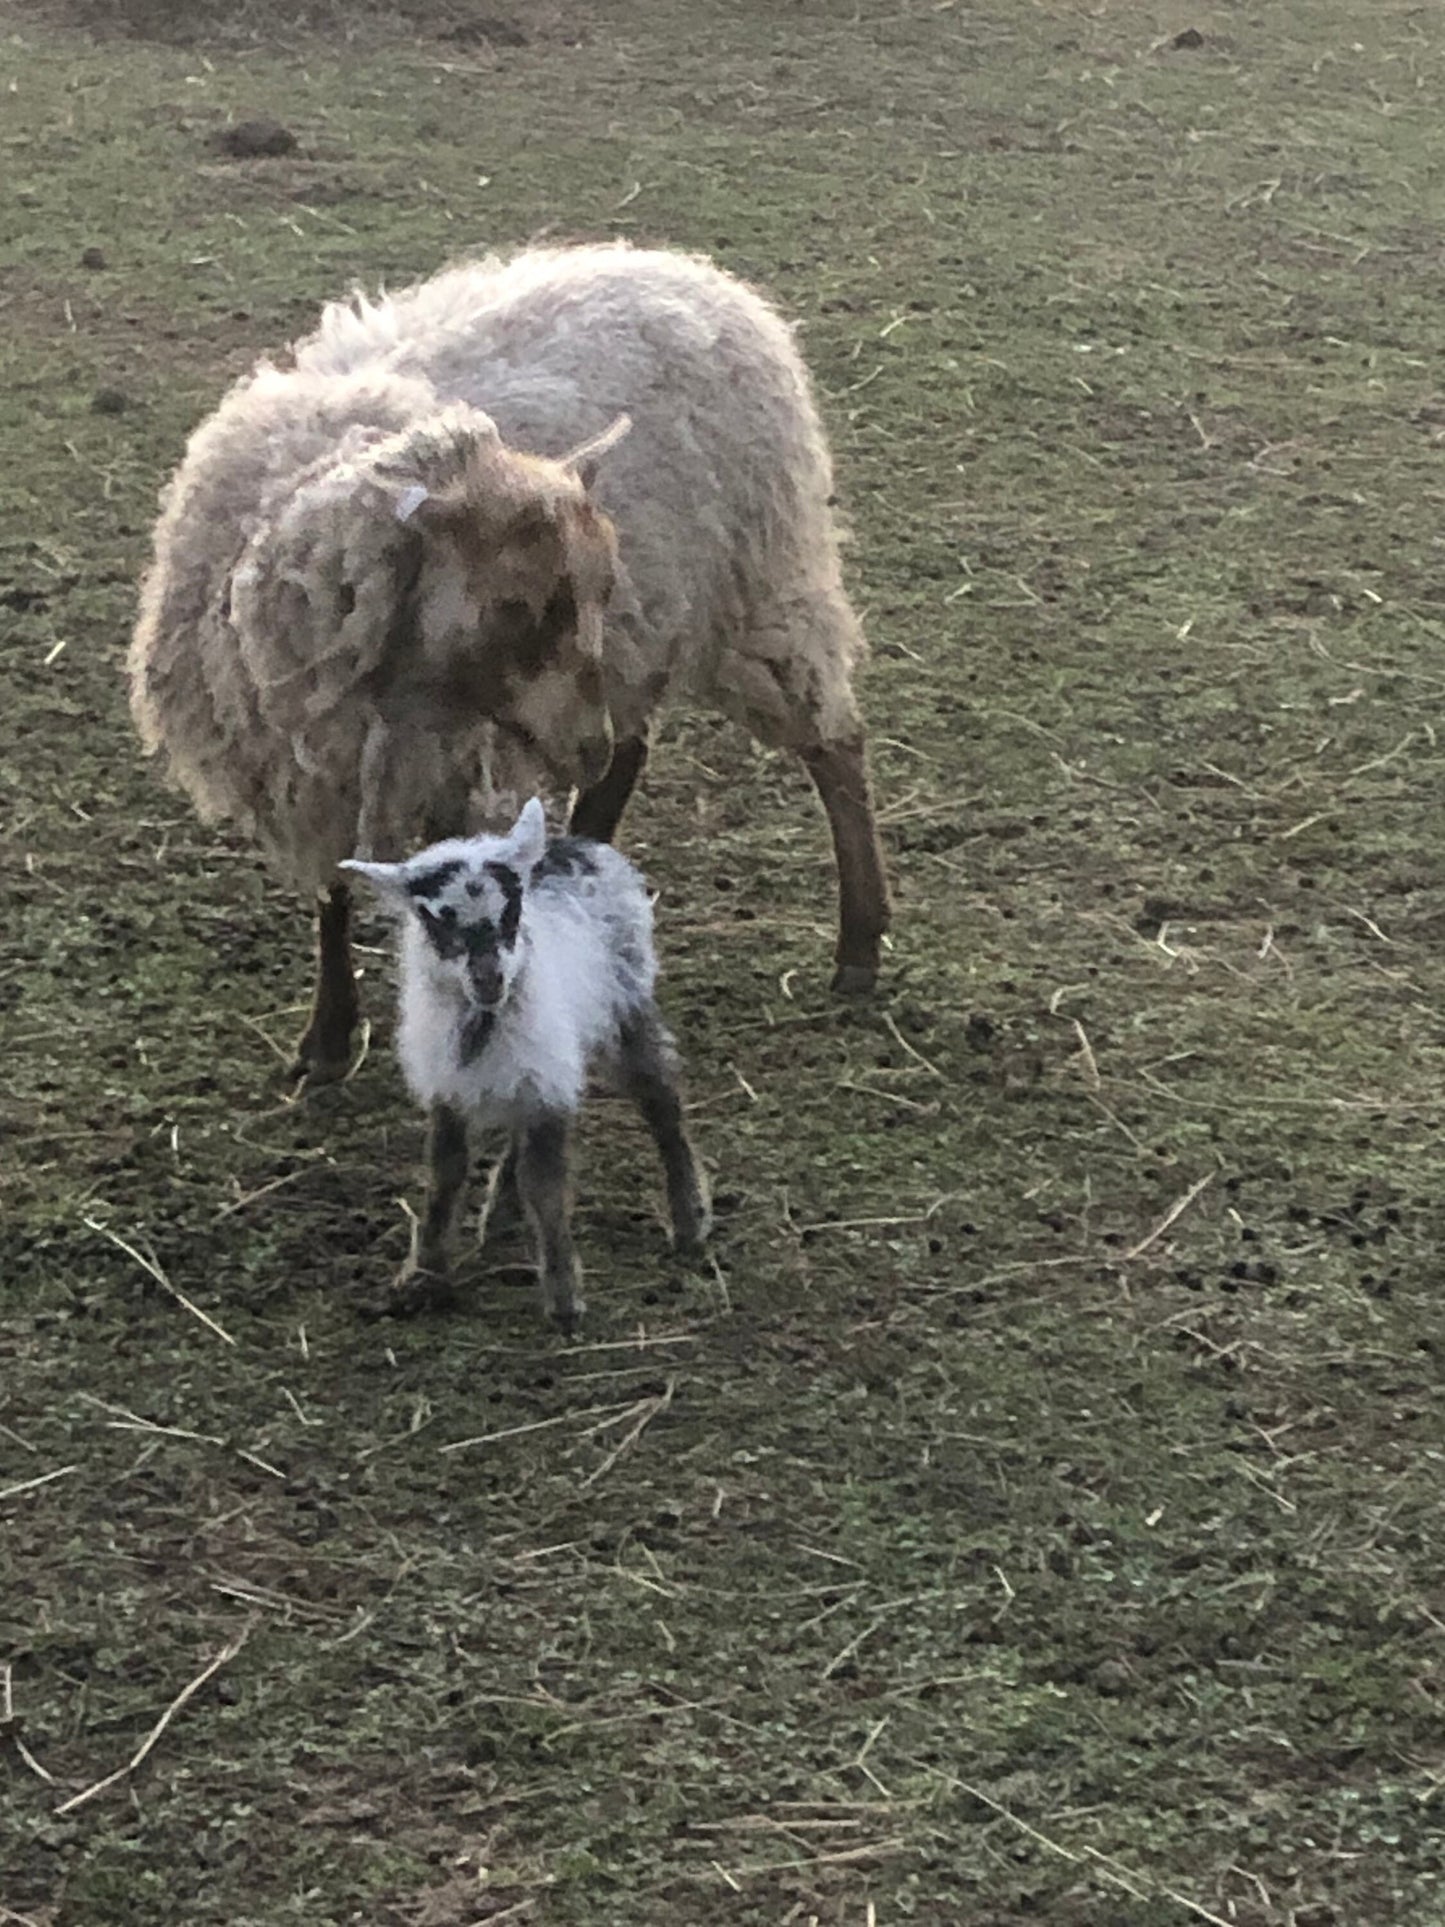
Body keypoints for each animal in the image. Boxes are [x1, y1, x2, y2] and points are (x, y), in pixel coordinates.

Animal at [127, 238, 893, 1086]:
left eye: (592, 584)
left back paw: (858, 943)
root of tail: (692, 273)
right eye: (518, 605)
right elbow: (332, 899)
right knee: (629, 758)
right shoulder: (314, 775)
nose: (583, 745)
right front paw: (326, 1037)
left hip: (755, 591)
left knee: (831, 746)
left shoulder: (455, 763)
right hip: (641, 639)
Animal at [346, 790, 720, 1318]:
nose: (489, 979)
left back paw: (689, 1219)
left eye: (511, 911)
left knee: (661, 1098)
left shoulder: (547, 1086)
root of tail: (575, 844)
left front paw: (564, 1299)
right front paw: (423, 1275)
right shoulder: (451, 1089)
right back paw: (501, 1215)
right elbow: (445, 1174)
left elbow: (544, 1185)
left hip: (625, 1005)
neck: (483, 1023)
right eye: (437, 919)